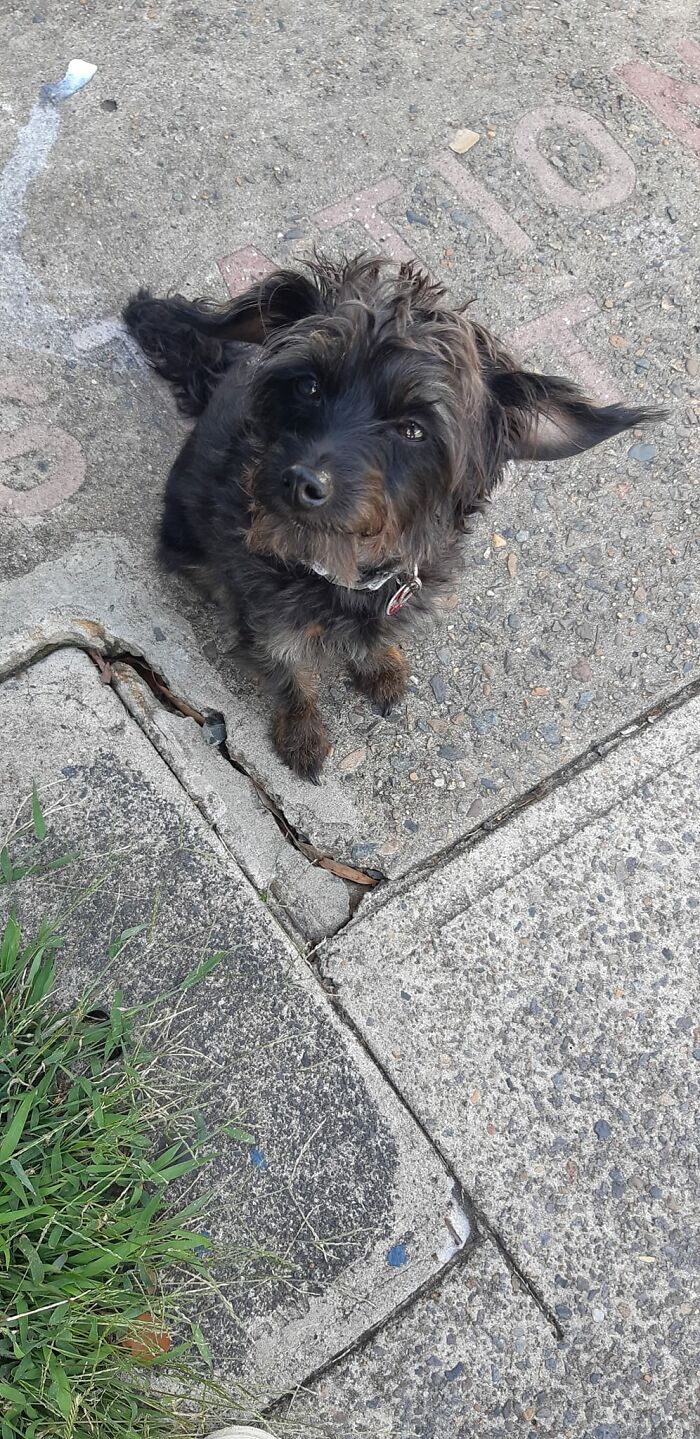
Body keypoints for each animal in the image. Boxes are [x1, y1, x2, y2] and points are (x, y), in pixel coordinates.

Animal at [124, 253, 656, 782]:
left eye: (413, 429)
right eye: (308, 385)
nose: (300, 482)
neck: (345, 571)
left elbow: (374, 644)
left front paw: (379, 666)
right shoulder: (269, 625)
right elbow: (291, 679)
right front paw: (303, 736)